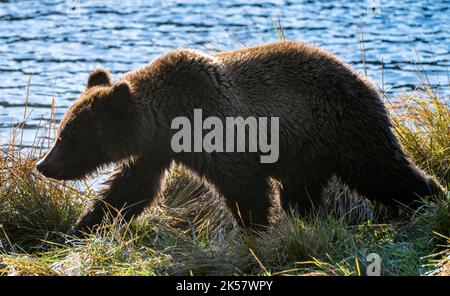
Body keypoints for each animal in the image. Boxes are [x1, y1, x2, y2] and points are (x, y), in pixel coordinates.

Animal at [35, 40, 442, 234]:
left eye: (67, 137)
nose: (43, 165)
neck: (167, 119)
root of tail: (363, 79)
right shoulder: (155, 151)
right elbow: (130, 191)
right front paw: (79, 229)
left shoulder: (215, 126)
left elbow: (245, 186)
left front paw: (253, 230)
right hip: (306, 150)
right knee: (302, 191)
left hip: (340, 125)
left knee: (380, 169)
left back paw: (430, 198)